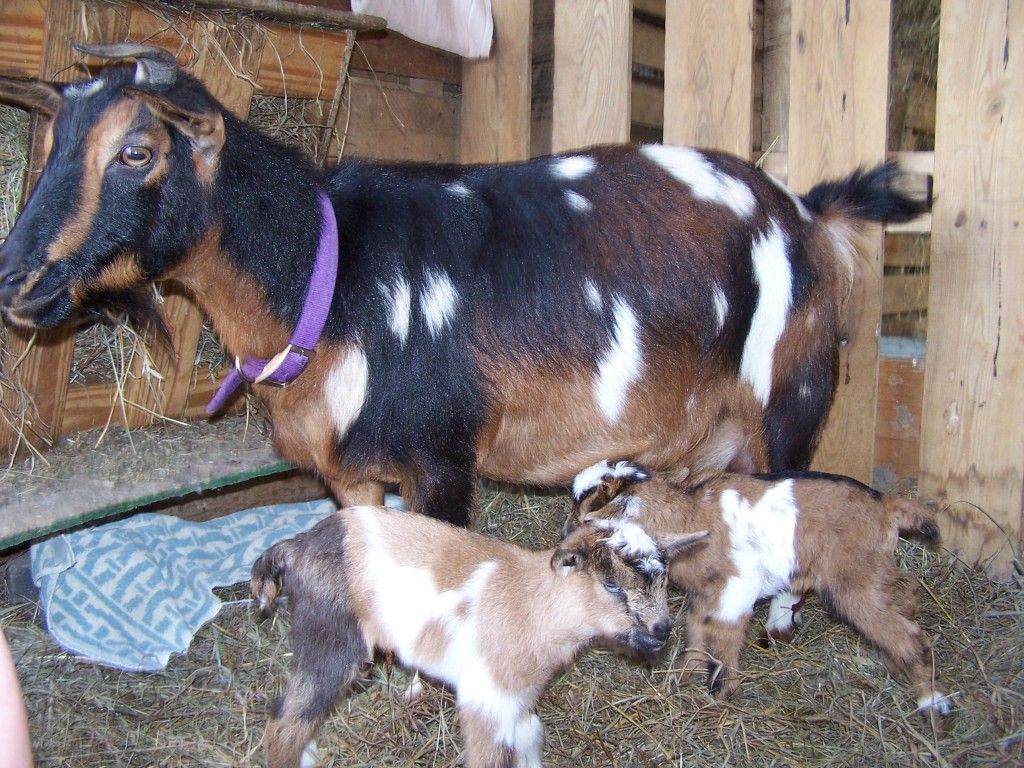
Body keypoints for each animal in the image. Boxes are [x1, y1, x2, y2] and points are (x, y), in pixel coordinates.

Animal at [250, 505, 706, 768]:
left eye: (664, 582)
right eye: (612, 585)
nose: (662, 631)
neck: (533, 605)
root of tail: (296, 546)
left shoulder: (518, 699)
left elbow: (530, 737)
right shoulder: (485, 697)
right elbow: (489, 756)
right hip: (330, 636)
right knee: (285, 721)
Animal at [568, 460, 953, 716]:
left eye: (586, 505)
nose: (567, 532)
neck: (688, 514)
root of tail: (886, 504)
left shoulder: (737, 587)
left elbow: (724, 633)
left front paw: (723, 693)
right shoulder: (704, 593)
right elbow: (696, 630)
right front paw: (685, 678)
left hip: (854, 581)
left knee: (909, 634)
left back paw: (932, 704)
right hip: (873, 570)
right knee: (908, 591)